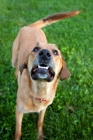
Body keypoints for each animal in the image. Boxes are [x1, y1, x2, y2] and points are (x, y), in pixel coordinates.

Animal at [12, 10, 80, 139]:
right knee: (16, 69)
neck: (40, 89)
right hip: (13, 59)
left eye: (55, 52)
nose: (44, 53)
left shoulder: (44, 109)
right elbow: (18, 131)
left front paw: (40, 136)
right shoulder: (19, 111)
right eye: (35, 49)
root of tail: (31, 27)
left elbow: (40, 122)